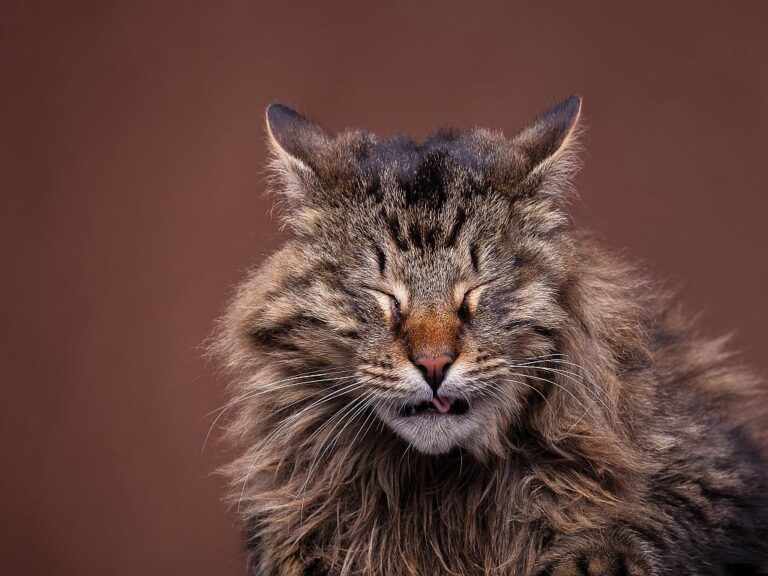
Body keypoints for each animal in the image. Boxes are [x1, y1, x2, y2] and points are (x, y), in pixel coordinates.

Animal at [210, 97, 768, 572]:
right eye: (384, 295)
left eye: (477, 291)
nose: (434, 364)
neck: (440, 497)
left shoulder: (719, 484)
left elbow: (621, 543)